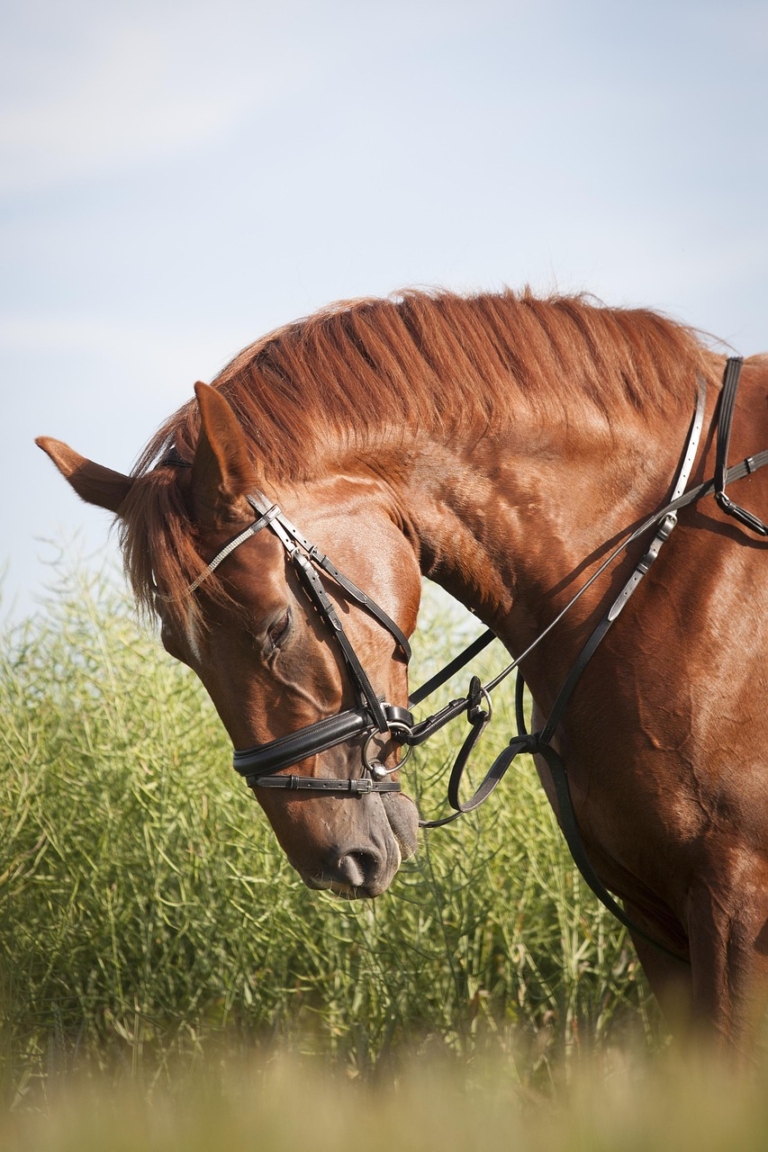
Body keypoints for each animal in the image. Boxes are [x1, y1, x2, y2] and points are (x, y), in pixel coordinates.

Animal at [36, 288, 768, 1049]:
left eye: (276, 626)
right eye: (178, 650)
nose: (338, 863)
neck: (654, 559)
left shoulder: (734, 896)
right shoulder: (655, 914)